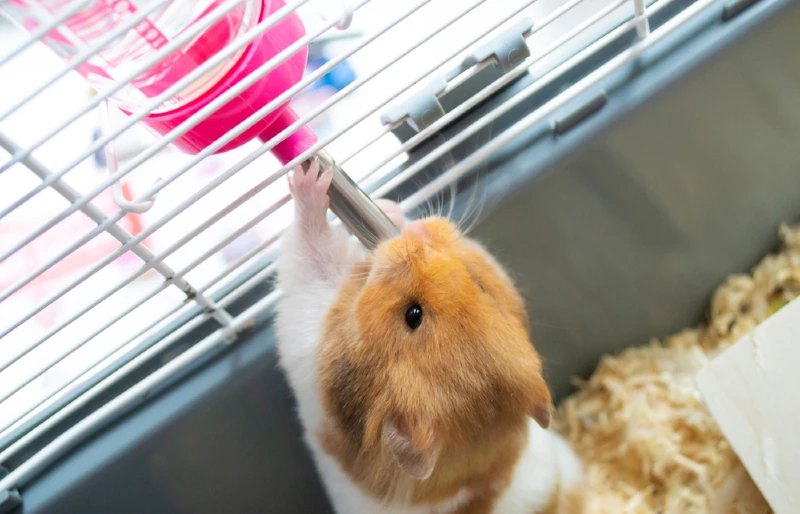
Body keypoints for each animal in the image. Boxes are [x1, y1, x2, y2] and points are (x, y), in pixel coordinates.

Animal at [276, 161, 585, 514]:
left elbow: (310, 254)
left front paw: (312, 179)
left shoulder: (312, 341)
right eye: (480, 285)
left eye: (414, 314)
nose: (420, 235)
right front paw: (386, 209)